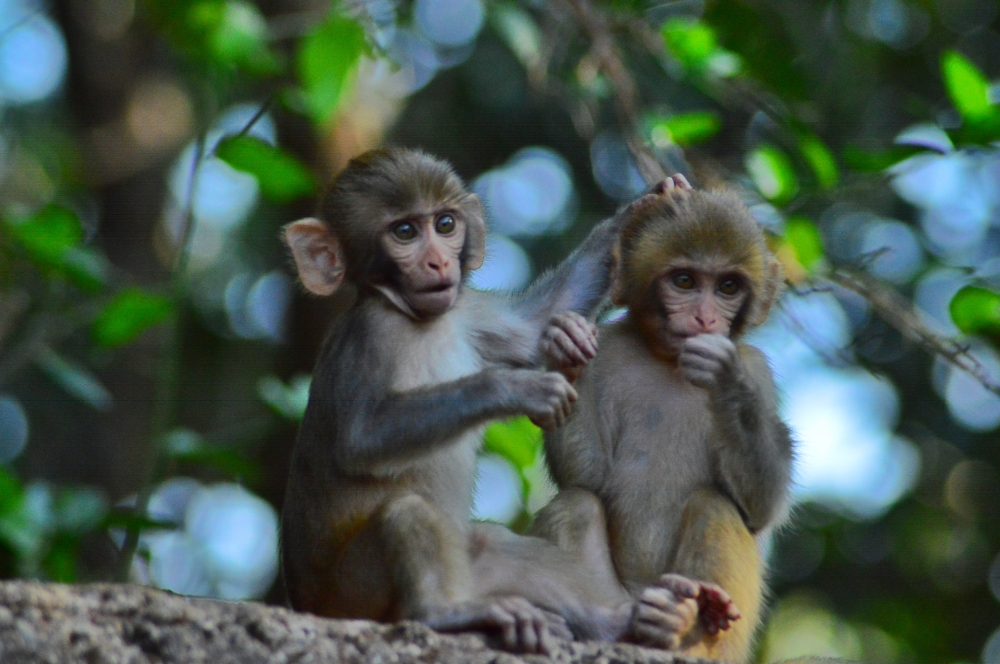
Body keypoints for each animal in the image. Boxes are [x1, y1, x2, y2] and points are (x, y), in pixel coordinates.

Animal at [280, 147, 646, 654]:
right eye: (405, 232)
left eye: (446, 223)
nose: (438, 262)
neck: (418, 319)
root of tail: (308, 604)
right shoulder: (369, 335)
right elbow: (361, 438)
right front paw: (516, 388)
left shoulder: (465, 312)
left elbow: (532, 324)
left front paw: (634, 216)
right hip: (353, 595)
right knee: (408, 511)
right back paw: (445, 614)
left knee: (489, 545)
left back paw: (629, 620)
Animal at [535, 175, 793, 663]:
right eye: (685, 281)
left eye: (728, 287)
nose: (705, 318)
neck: (668, 361)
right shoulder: (607, 351)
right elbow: (587, 478)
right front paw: (564, 350)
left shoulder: (760, 373)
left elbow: (761, 507)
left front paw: (724, 378)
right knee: (575, 505)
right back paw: (629, 627)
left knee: (715, 506)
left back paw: (684, 626)